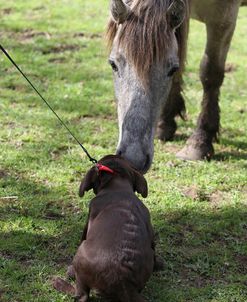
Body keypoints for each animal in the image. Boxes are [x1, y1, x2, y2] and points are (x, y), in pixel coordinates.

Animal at [107, 0, 246, 172]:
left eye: (171, 69)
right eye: (113, 64)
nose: (133, 159)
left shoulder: (223, 19)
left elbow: (210, 73)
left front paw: (200, 142)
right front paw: (165, 124)